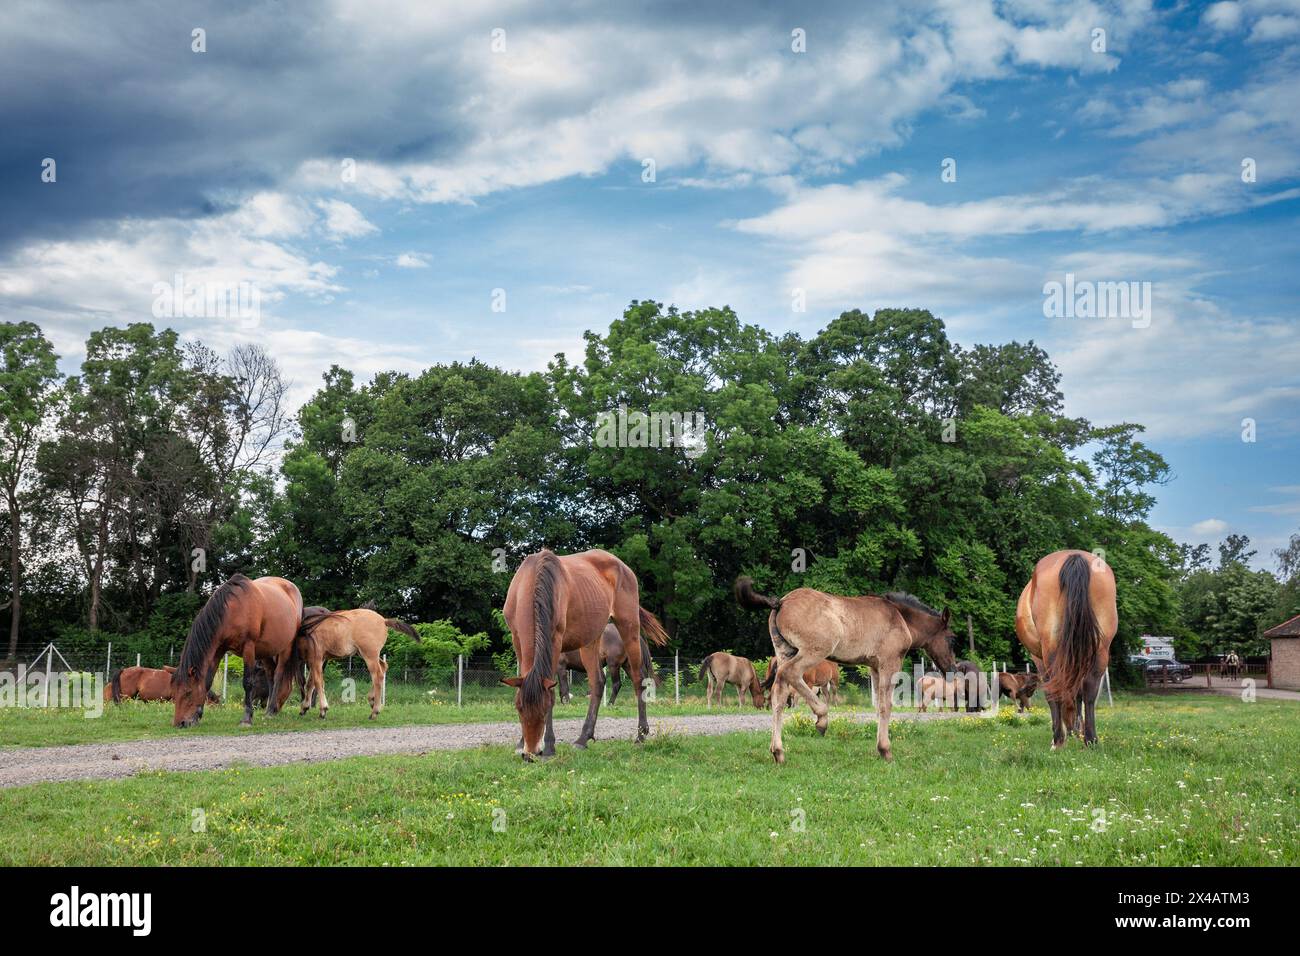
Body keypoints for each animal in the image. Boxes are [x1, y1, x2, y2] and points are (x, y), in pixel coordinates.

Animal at [172, 572, 304, 728]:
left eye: (188, 692)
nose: (180, 723)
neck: (232, 610)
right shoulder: (219, 650)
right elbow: (207, 682)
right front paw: (197, 716)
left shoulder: (248, 648)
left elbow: (247, 682)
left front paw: (246, 718)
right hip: (266, 650)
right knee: (271, 676)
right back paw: (268, 710)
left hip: (286, 647)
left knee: (278, 675)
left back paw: (271, 710)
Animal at [499, 548, 670, 759]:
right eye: (519, 709)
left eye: (544, 709)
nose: (531, 753)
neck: (533, 581)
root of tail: (623, 566)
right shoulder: (517, 639)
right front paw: (521, 742)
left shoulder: (555, 643)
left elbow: (556, 692)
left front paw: (549, 746)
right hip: (591, 640)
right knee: (598, 682)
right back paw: (583, 738)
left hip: (628, 629)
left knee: (639, 681)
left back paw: (640, 735)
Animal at [738, 574, 961, 764]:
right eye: (951, 639)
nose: (951, 668)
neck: (900, 618)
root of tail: (781, 602)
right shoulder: (889, 663)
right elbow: (886, 706)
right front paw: (885, 750)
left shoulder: (874, 667)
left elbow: (878, 705)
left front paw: (880, 748)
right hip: (813, 651)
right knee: (790, 675)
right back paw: (821, 718)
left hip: (785, 651)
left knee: (779, 695)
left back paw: (778, 752)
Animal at [1013, 554, 1118, 749]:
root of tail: (1075, 556)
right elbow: (1079, 695)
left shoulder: (1038, 659)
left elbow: (1051, 695)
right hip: (1100, 650)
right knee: (1089, 691)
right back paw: (1090, 740)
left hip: (1050, 652)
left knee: (1057, 689)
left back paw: (1058, 740)